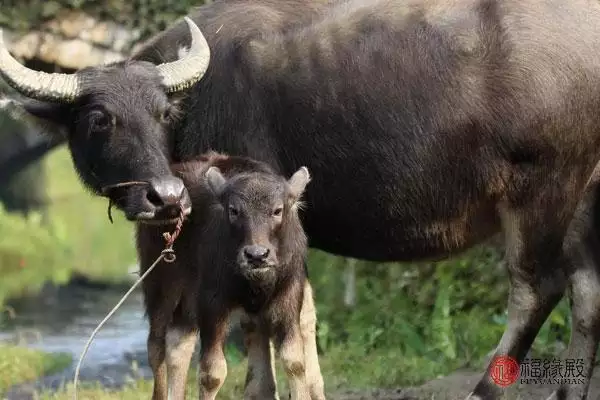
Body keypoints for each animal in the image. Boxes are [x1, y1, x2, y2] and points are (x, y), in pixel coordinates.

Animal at [134, 152, 322, 398]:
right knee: (156, 348)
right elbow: (212, 374)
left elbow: (295, 361)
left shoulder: (289, 296)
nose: (256, 255)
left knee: (178, 344)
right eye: (234, 210)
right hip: (160, 287)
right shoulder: (212, 303)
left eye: (277, 210)